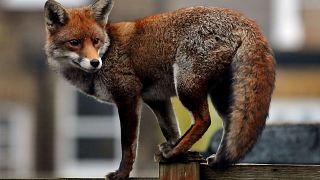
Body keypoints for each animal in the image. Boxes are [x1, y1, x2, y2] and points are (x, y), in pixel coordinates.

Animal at [44, 0, 276, 178]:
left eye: (96, 41)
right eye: (75, 42)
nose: (95, 63)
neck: (108, 52)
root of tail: (242, 18)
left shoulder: (128, 96)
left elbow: (128, 145)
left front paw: (122, 174)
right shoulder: (157, 99)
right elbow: (171, 130)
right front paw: (181, 153)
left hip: (186, 86)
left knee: (204, 120)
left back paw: (175, 152)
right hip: (222, 98)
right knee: (229, 128)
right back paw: (211, 158)